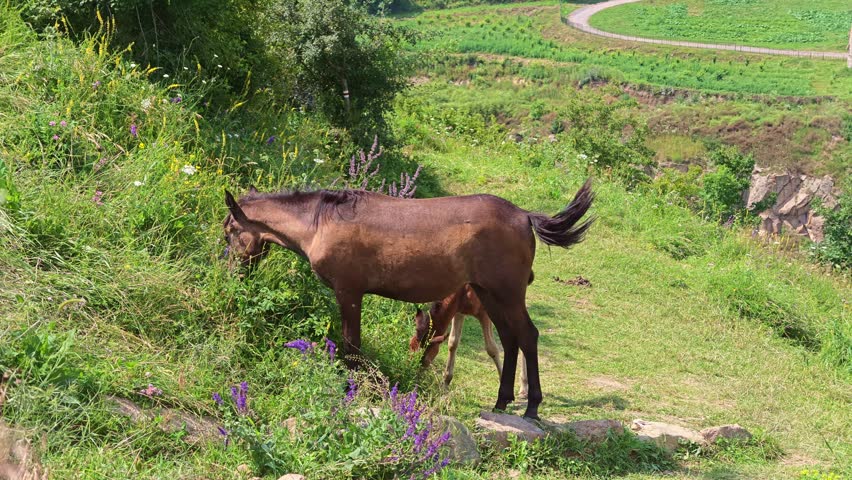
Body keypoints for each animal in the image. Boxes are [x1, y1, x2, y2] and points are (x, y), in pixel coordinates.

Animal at [222, 180, 594, 420]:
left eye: (229, 231)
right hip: (489, 294)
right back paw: (501, 402)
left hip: (507, 293)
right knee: (509, 338)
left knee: (527, 336)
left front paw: (352, 391)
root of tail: (524, 215)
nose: (231, 274)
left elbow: (351, 345)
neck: (320, 222)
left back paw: (531, 406)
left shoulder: (349, 292)